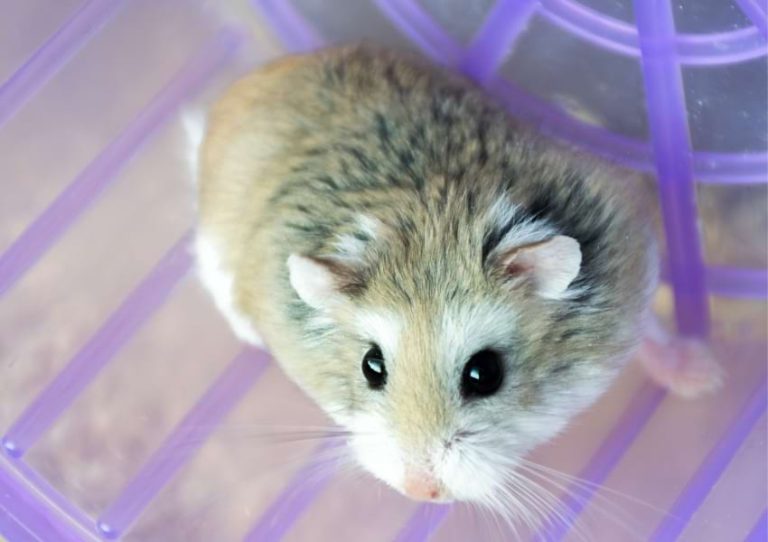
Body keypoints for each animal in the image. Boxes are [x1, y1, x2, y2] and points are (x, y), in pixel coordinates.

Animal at [191, 45, 711, 507]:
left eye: (485, 374)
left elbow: (652, 331)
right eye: (371, 367)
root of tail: (234, 94)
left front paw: (702, 380)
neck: (437, 233)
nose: (420, 492)